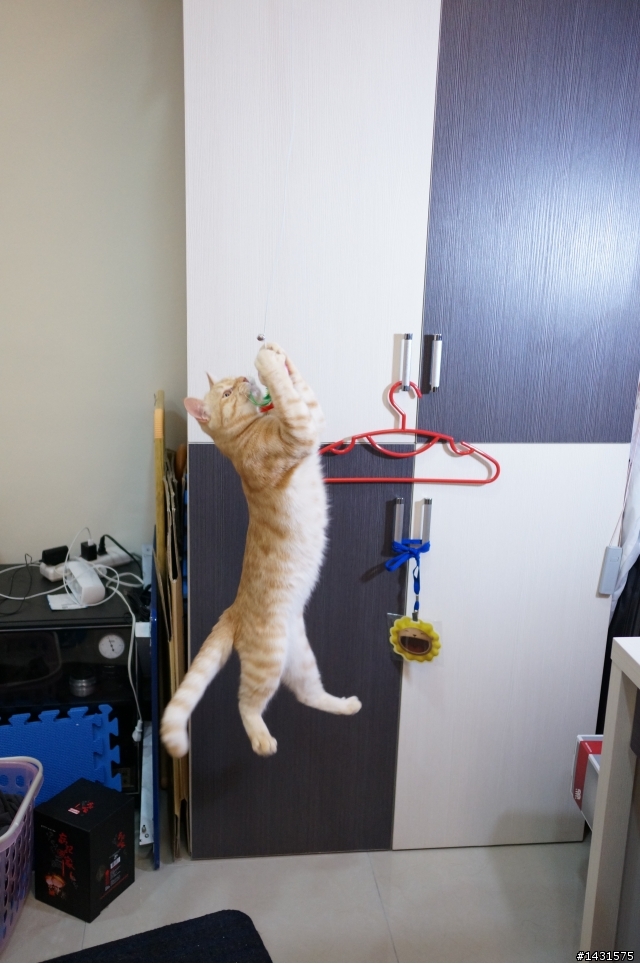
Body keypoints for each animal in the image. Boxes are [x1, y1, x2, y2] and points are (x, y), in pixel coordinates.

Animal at [161, 343, 362, 758]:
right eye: (225, 393)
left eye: (231, 383)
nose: (242, 378)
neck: (249, 432)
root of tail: (233, 611)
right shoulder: (301, 429)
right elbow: (289, 397)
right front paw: (269, 364)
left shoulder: (312, 418)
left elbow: (301, 391)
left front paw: (278, 355)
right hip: (266, 661)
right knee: (246, 703)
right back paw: (261, 740)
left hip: (301, 658)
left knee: (308, 694)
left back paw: (345, 705)